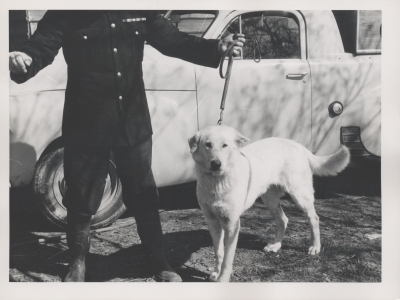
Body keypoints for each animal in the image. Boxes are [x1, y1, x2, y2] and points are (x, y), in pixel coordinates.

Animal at [189, 125, 348, 282]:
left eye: (225, 145)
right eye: (208, 145)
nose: (216, 164)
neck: (216, 182)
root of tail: (295, 144)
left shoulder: (232, 224)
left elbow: (228, 258)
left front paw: (223, 279)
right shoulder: (213, 222)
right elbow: (218, 251)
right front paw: (216, 273)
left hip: (300, 195)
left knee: (313, 218)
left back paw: (315, 246)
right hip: (270, 200)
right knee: (283, 220)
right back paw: (275, 245)